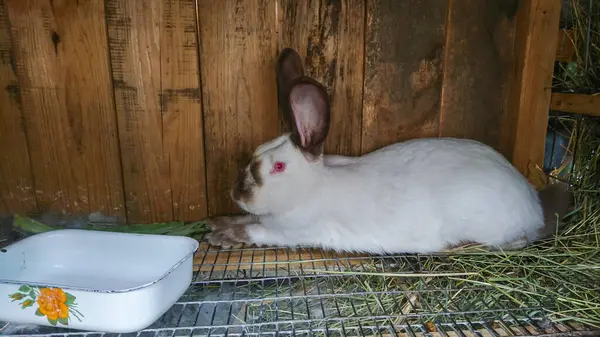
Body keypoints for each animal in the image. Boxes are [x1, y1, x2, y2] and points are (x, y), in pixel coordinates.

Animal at [206, 46, 572, 252]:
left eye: (278, 167)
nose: (236, 193)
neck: (311, 187)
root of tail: (533, 205)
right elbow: (247, 219)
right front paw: (218, 221)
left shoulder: (293, 231)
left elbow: (256, 230)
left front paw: (222, 236)